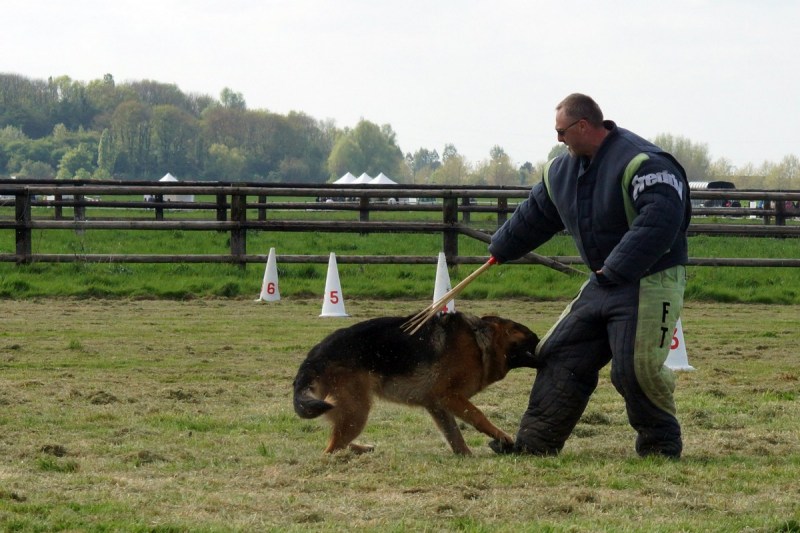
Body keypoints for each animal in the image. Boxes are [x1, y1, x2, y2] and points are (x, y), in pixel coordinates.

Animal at [292, 312, 536, 454]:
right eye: (532, 339)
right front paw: (502, 436)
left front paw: (466, 455)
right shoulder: (449, 396)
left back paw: (360, 448)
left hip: (351, 411)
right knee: (331, 448)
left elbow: (454, 435)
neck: (480, 342)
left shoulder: (437, 405)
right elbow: (478, 415)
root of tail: (315, 355)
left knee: (337, 439)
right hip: (357, 410)